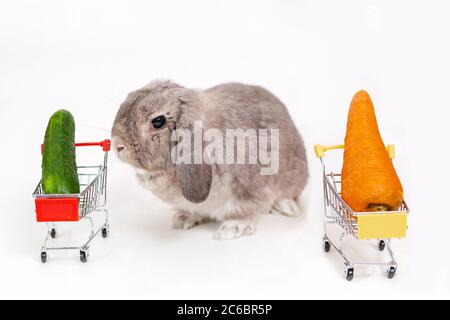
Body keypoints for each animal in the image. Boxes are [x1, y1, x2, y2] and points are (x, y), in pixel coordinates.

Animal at [112, 80, 310, 240]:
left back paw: (285, 206)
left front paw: (231, 229)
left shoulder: (251, 191)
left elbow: (246, 212)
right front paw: (182, 219)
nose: (117, 145)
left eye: (158, 121)